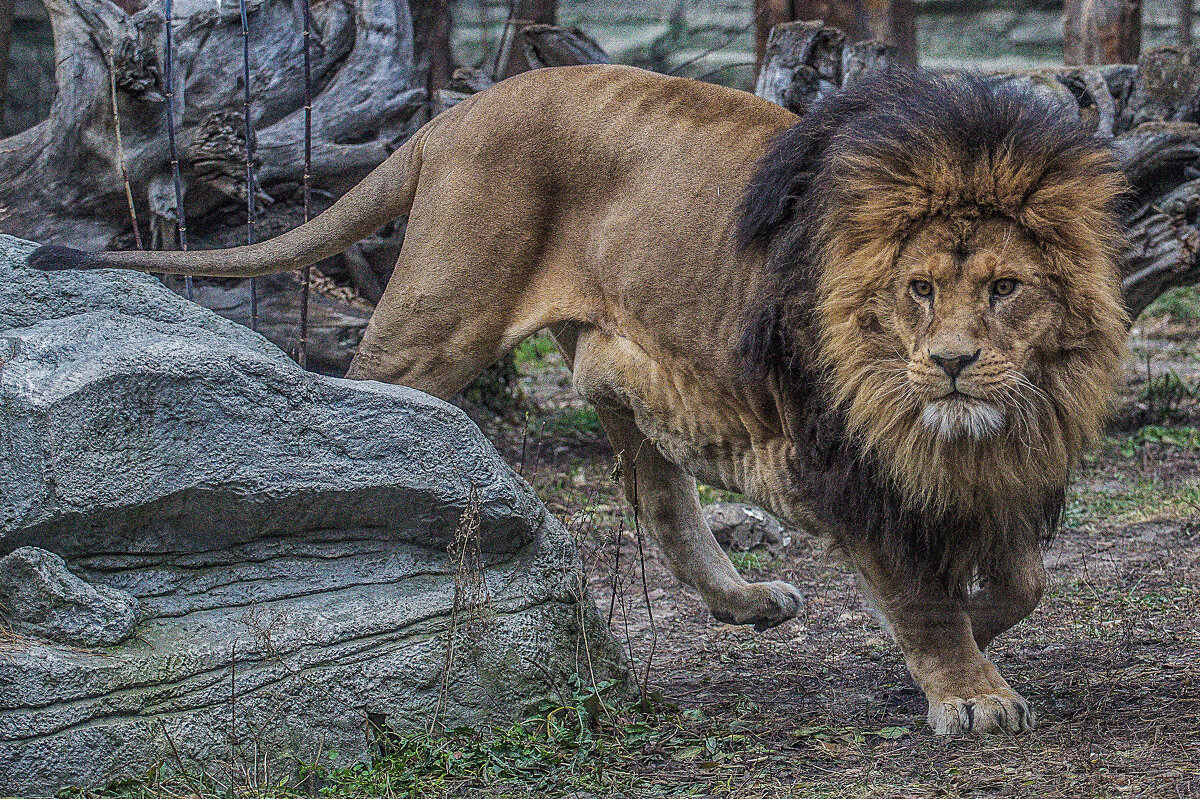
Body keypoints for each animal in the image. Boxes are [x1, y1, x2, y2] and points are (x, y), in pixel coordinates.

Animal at [30, 65, 1132, 729]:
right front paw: (966, 688)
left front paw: (957, 634)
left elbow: (1022, 580)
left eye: (1005, 288)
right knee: (366, 397)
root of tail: (450, 118)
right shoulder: (836, 451)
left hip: (613, 355)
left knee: (658, 496)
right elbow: (919, 589)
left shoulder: (1004, 464)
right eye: (920, 289)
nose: (950, 363)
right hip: (443, 311)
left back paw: (742, 600)